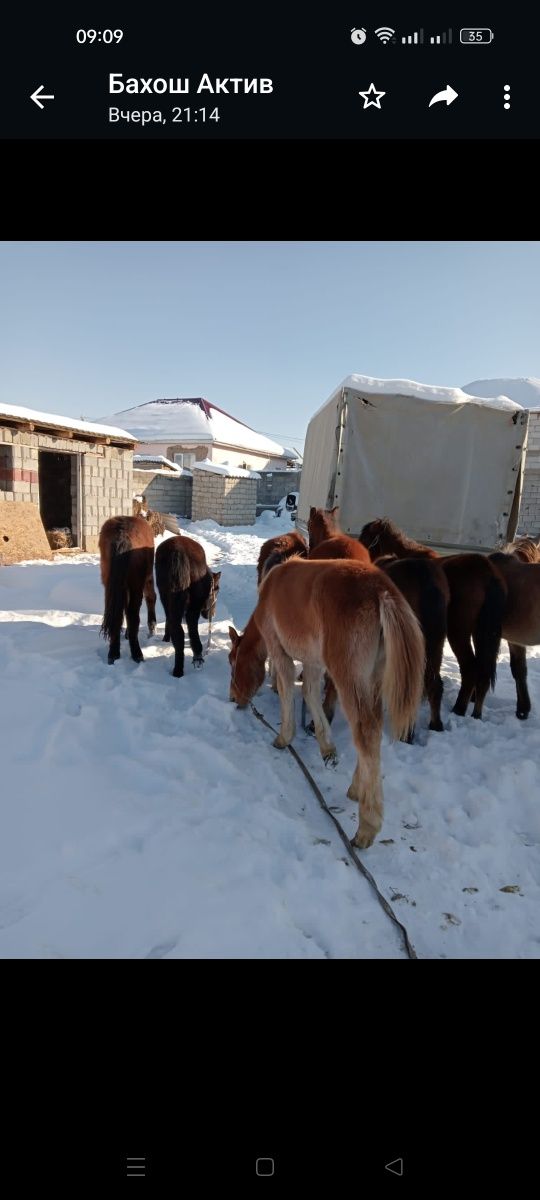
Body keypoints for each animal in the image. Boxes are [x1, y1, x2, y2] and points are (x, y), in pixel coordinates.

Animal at [99, 516, 156, 667]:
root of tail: (122, 534)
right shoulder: (147, 579)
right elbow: (151, 598)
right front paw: (152, 627)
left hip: (109, 586)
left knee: (117, 614)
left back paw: (113, 653)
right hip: (137, 585)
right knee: (133, 614)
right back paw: (137, 653)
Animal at [153, 535, 222, 676]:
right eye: (217, 590)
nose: (213, 614)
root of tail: (178, 552)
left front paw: (166, 638)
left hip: (167, 596)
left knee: (177, 629)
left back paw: (178, 670)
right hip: (190, 606)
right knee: (189, 627)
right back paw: (195, 658)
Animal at [225, 556, 424, 849]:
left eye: (232, 661)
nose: (233, 698)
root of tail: (381, 591)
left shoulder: (279, 652)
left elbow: (287, 690)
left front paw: (284, 737)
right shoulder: (313, 661)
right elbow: (309, 692)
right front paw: (326, 746)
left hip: (348, 678)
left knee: (366, 731)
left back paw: (367, 826)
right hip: (372, 680)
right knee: (372, 728)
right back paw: (357, 788)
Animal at [357, 518, 506, 720]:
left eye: (366, 538)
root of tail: (488, 573)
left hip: (458, 632)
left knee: (470, 668)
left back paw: (459, 708)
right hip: (482, 633)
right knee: (483, 672)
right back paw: (475, 712)